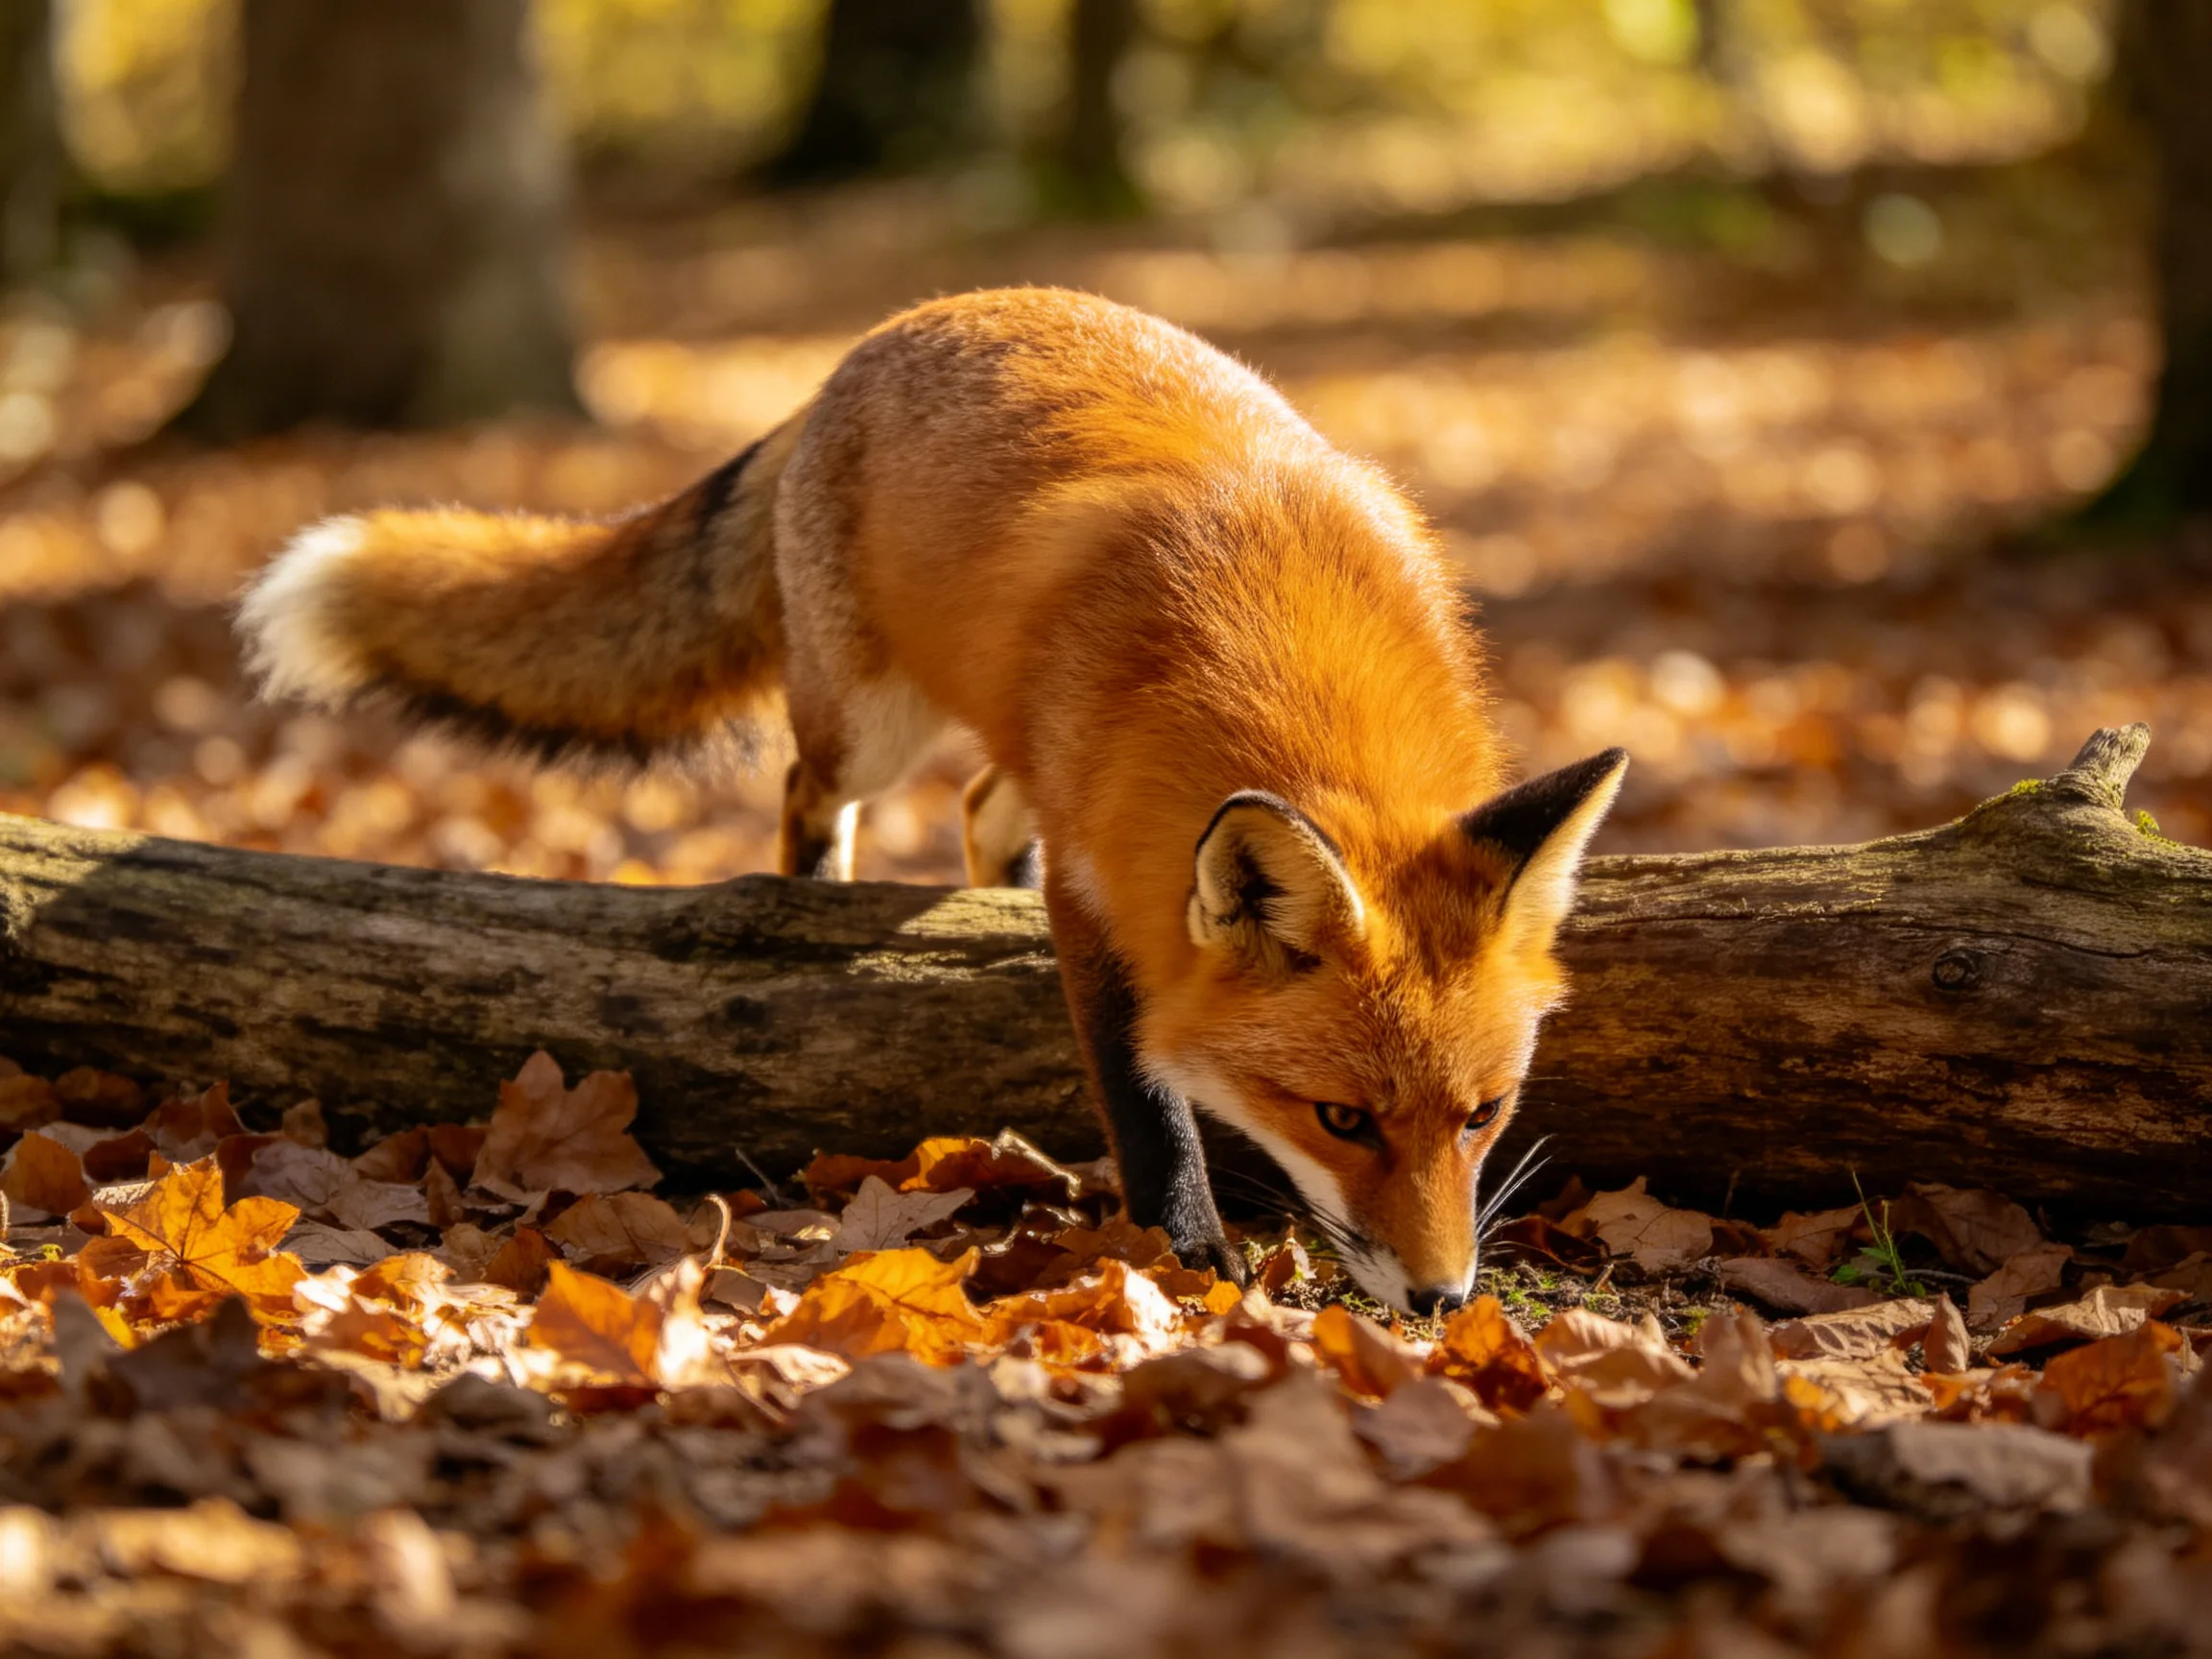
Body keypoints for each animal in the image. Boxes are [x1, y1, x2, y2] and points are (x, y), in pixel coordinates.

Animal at [238, 287, 1626, 1315]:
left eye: (1484, 1115)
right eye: (1340, 1118)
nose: (1445, 1299)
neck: (1282, 650)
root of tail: (886, 334)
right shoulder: (1100, 876)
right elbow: (1144, 1090)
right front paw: (1188, 1248)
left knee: (978, 807)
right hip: (869, 728)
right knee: (812, 788)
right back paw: (809, 902)